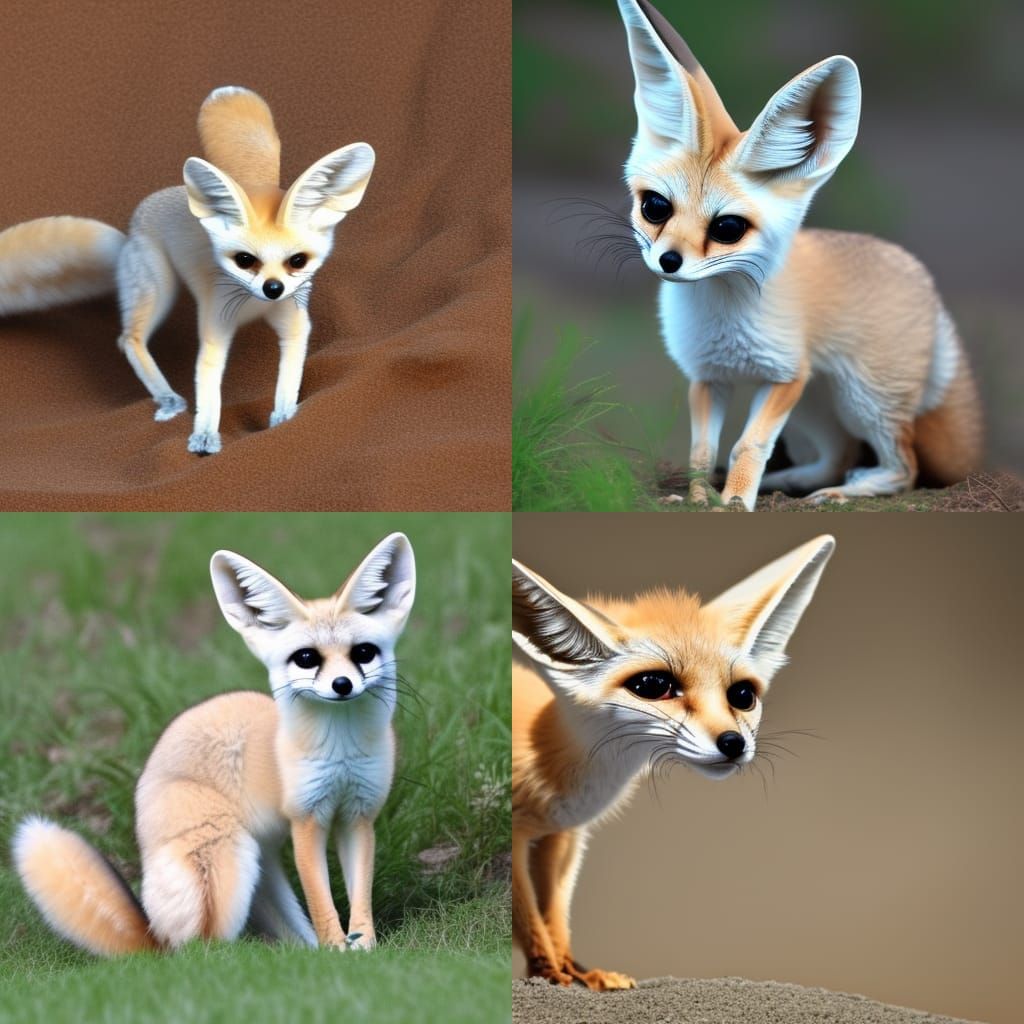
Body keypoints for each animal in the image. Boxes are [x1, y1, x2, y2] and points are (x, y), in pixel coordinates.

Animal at [0, 86, 374, 455]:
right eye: (244, 260)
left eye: (297, 261)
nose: (273, 289)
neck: (254, 307)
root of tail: (128, 234)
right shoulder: (214, 328)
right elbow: (208, 386)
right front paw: (205, 434)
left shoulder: (295, 323)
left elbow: (290, 375)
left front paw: (284, 415)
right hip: (159, 289)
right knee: (128, 339)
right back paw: (166, 397)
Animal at [13, 533, 415, 956]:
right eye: (306, 658)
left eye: (364, 653)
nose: (342, 685)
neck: (343, 752)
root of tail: (153, 937)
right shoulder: (307, 819)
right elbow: (322, 903)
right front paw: (337, 950)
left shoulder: (358, 813)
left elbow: (360, 899)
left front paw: (365, 950)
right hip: (225, 854)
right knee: (200, 949)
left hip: (259, 864)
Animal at [511, 534, 835, 990]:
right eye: (653, 685)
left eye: (742, 695)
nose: (734, 743)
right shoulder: (518, 837)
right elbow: (529, 921)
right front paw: (550, 976)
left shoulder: (564, 835)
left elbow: (554, 919)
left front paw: (577, 973)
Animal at [614, 0, 982, 509]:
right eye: (655, 207)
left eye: (727, 228)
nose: (669, 261)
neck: (722, 319)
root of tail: (920, 274)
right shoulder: (708, 377)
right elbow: (702, 452)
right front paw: (701, 497)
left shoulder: (785, 375)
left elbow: (749, 444)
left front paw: (735, 501)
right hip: (819, 403)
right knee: (838, 454)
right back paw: (791, 484)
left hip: (863, 400)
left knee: (902, 468)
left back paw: (845, 491)